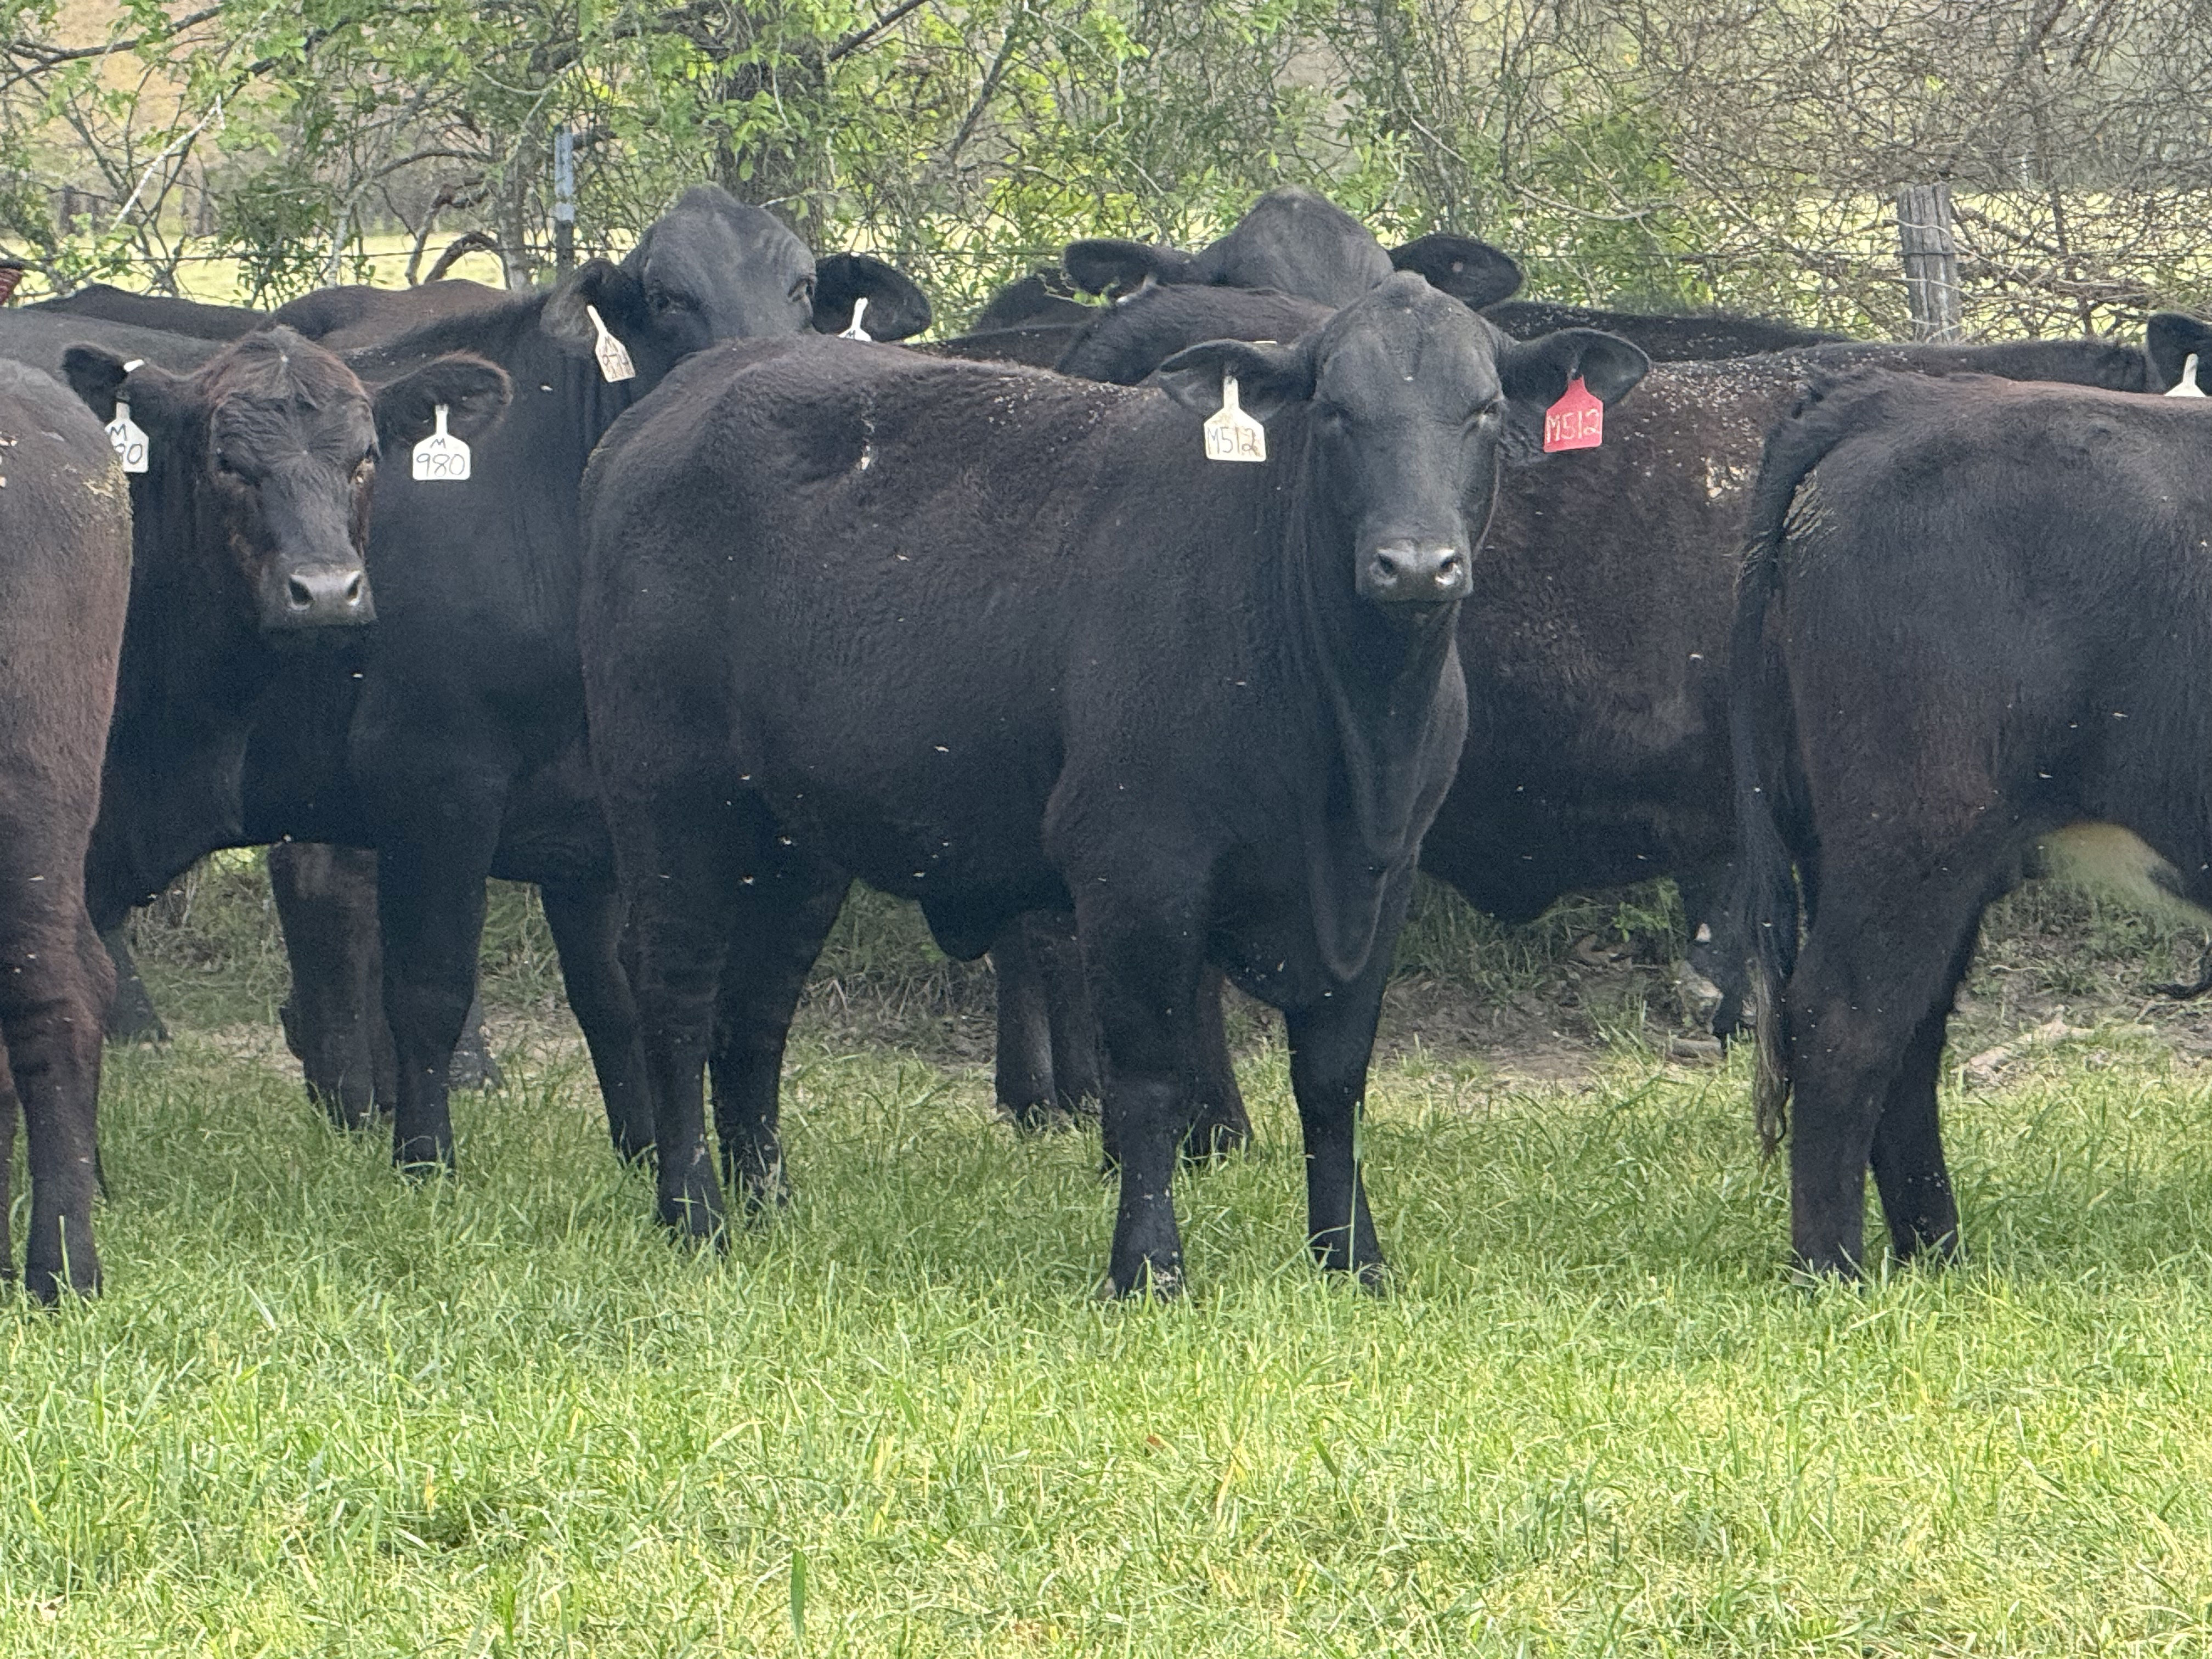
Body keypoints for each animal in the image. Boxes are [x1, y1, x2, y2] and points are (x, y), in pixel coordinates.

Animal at [577, 274, 1649, 1293]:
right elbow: (1149, 1078)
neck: (1350, 740)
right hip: (668, 798)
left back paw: (768, 1203)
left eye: (1481, 409)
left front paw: (1351, 1259)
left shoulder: (1383, 878)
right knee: (674, 988)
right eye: (1337, 409)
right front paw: (1148, 1266)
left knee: (757, 1008)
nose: (1416, 564)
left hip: (795, 839)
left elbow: (1334, 1078)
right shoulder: (1137, 865)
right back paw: (694, 1213)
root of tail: (673, 402)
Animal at [1733, 366, 2212, 1276]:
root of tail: (1898, 395)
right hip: (1911, 833)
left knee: (1907, 1040)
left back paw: (1934, 1257)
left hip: (1885, 850)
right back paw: (1832, 1271)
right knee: (1845, 1022)